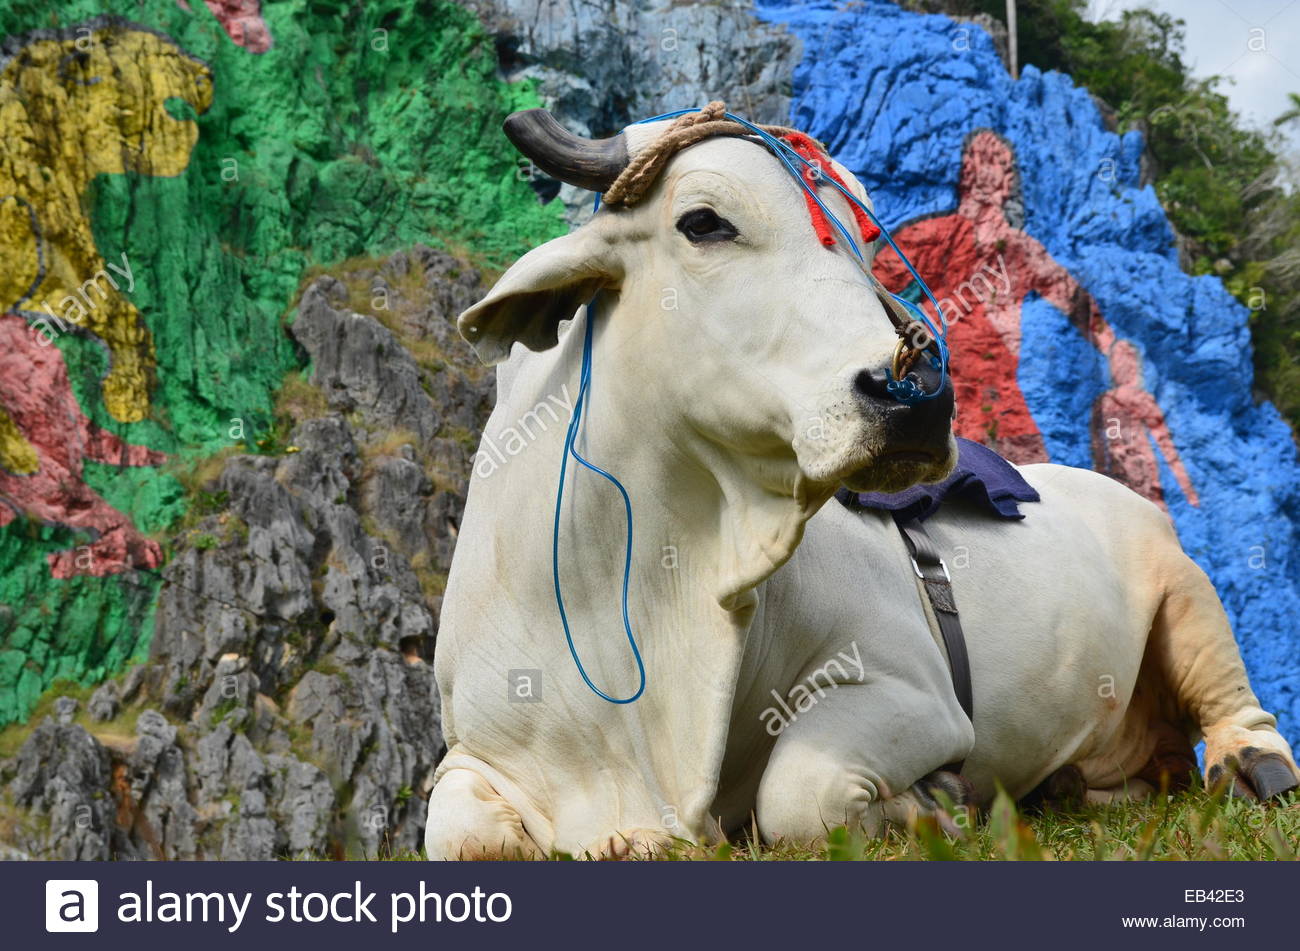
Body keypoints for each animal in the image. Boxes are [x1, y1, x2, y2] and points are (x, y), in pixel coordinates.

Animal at [423, 109, 1299, 859]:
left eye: (865, 244)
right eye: (702, 221)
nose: (915, 395)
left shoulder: (911, 686)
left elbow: (798, 796)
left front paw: (932, 803)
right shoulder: (477, 751)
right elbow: (458, 832)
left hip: (1188, 589)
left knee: (1237, 707)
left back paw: (1250, 765)